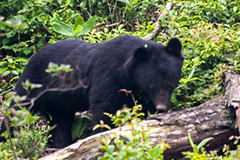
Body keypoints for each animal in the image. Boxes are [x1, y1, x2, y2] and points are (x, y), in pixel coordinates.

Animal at [0, 34, 184, 148]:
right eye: (153, 86)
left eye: (170, 85)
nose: (162, 108)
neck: (127, 74)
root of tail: (31, 58)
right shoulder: (106, 76)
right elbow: (103, 107)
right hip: (33, 84)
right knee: (16, 111)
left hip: (59, 102)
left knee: (60, 123)